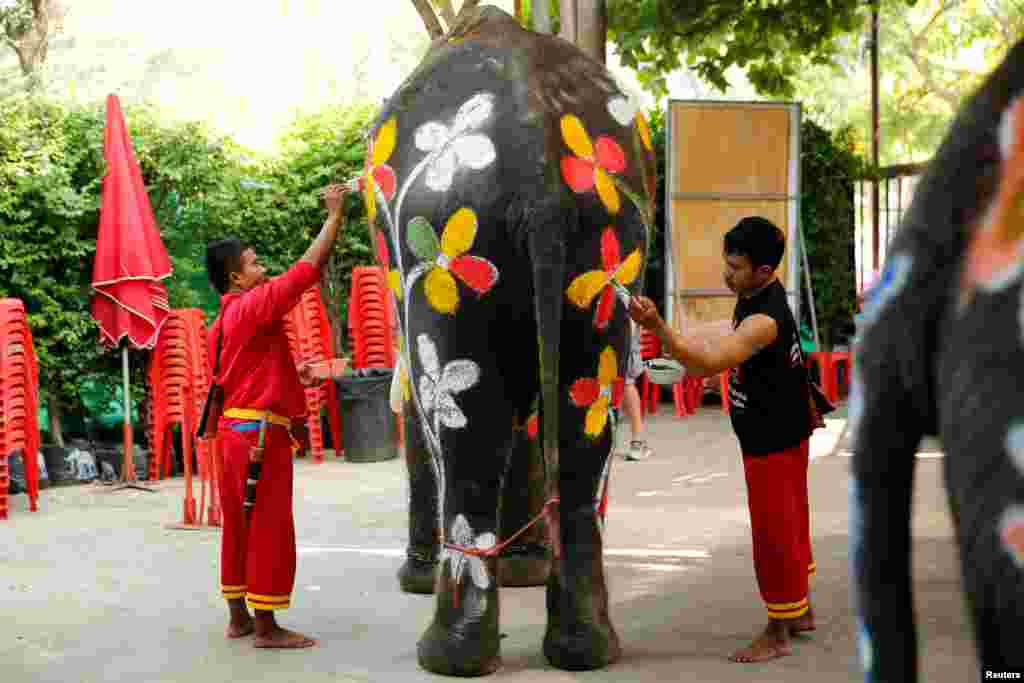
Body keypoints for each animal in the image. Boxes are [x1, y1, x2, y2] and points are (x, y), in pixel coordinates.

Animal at [356, 6, 651, 679]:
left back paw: (446, 656)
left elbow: (421, 402)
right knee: (583, 408)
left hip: (450, 230)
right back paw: (585, 648)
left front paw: (413, 583)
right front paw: (526, 572)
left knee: (466, 417)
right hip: (610, 247)